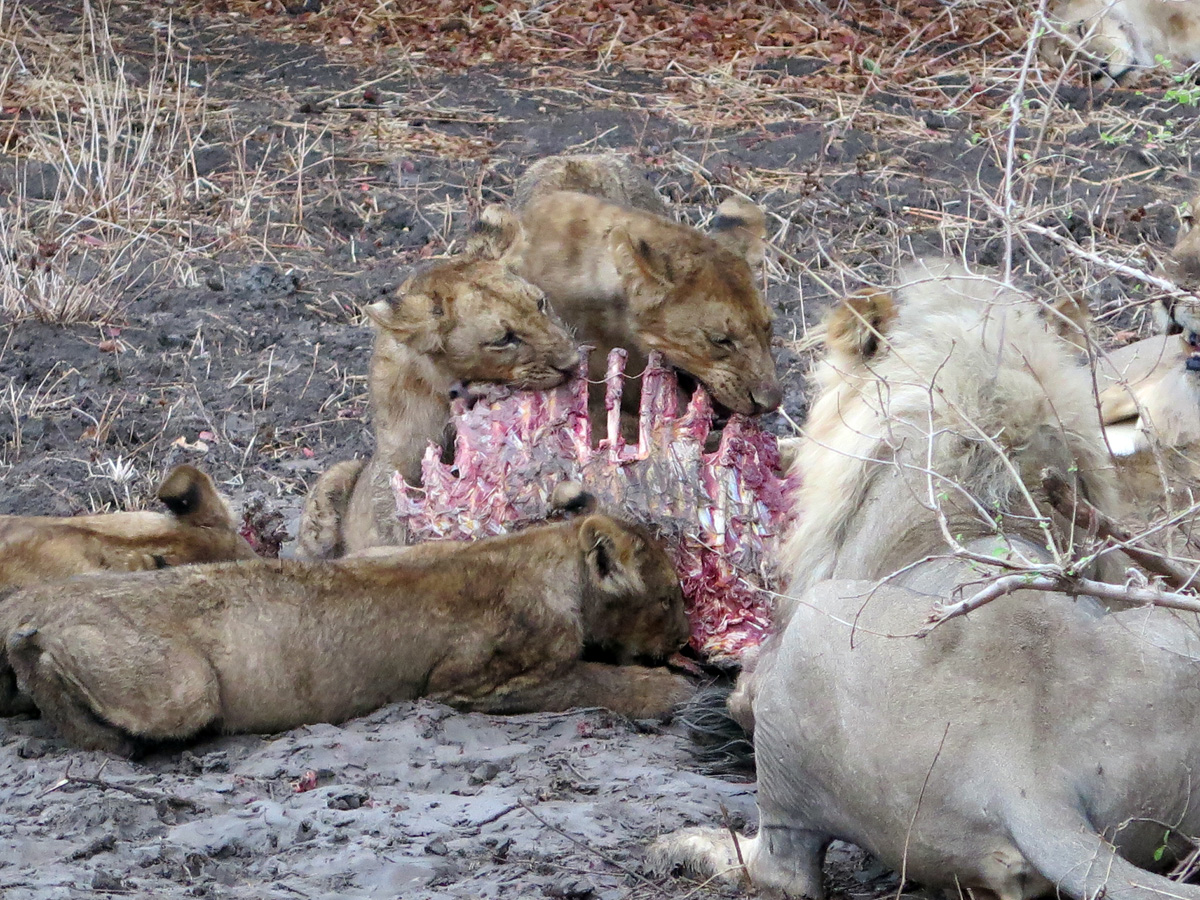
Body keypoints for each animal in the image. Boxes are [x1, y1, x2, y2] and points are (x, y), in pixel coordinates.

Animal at [3, 506, 694, 755]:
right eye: (669, 598)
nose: (683, 642)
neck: (541, 552)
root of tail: (30, 598)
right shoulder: (472, 682)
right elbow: (589, 679)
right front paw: (667, 691)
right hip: (181, 687)